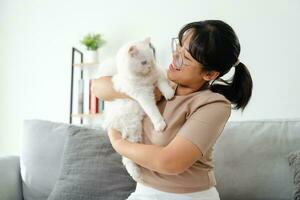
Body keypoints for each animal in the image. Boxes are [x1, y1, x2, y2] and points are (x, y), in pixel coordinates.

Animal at [102, 37, 175, 183]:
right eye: (144, 62)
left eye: (152, 59)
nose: (150, 67)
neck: (143, 78)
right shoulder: (143, 95)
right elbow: (152, 111)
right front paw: (160, 124)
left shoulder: (157, 76)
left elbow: (163, 84)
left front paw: (169, 93)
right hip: (132, 130)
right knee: (127, 157)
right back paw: (135, 174)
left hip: (133, 132)